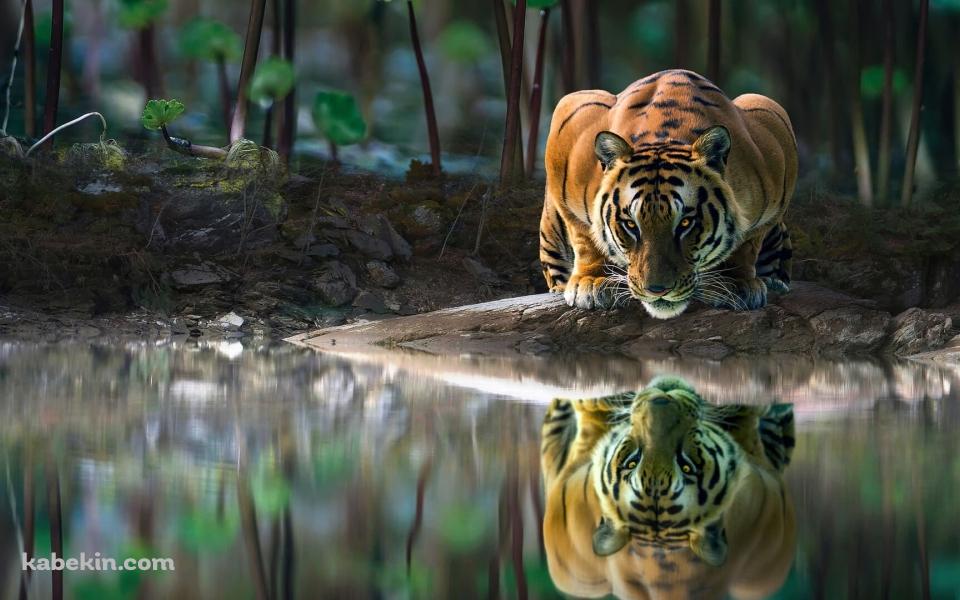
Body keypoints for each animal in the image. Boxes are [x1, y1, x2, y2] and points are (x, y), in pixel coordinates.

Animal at [539, 69, 798, 319]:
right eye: (630, 225)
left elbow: (747, 242)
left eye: (685, 223)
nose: (657, 290)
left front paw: (734, 282)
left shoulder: (774, 128)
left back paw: (774, 282)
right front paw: (593, 281)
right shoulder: (571, 117)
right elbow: (585, 236)